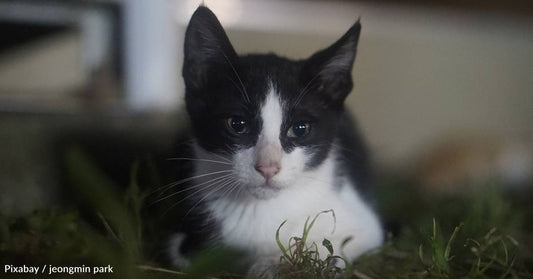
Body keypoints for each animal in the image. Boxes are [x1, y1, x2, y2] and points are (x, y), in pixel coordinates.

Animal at [167, 6, 382, 276]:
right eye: (237, 124)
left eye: (299, 129)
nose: (268, 167)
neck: (261, 208)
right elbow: (185, 253)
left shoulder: (364, 226)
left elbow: (328, 251)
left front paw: (269, 265)